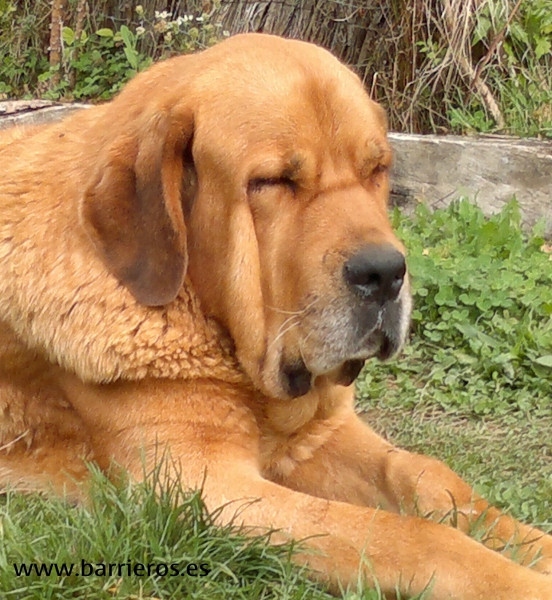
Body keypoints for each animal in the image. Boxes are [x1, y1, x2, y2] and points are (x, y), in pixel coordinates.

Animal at [1, 34, 552, 600]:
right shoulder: (200, 484)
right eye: (273, 182)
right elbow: (407, 537)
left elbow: (425, 473)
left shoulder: (319, 435)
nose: (385, 273)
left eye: (376, 171)